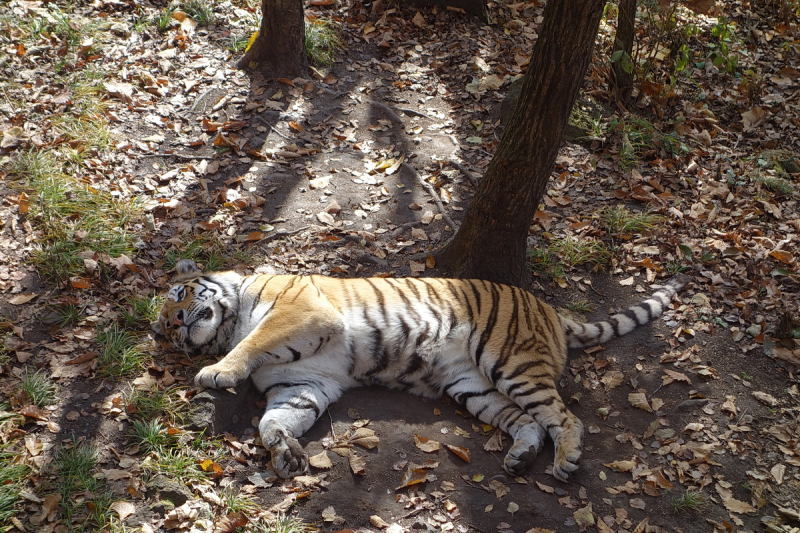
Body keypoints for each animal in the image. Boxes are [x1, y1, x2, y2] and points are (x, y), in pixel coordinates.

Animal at [152, 258, 688, 482]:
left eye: (177, 296)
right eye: (166, 330)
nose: (174, 324)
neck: (231, 321)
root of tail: (552, 312)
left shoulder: (299, 313)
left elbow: (255, 343)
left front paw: (216, 372)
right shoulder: (303, 382)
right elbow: (274, 420)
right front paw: (284, 453)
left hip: (510, 361)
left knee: (565, 417)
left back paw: (566, 461)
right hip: (472, 386)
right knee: (529, 421)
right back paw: (520, 458)